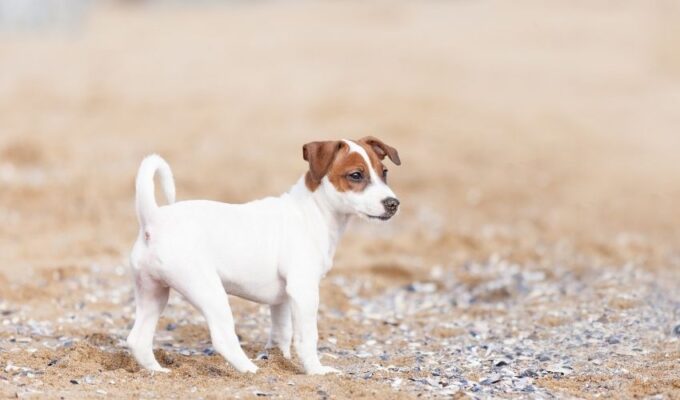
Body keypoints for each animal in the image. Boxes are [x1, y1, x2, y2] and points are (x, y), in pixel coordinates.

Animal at [126, 137, 398, 376]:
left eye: (384, 172)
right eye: (356, 175)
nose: (393, 203)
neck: (312, 211)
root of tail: (153, 219)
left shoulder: (284, 299)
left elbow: (281, 334)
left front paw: (279, 360)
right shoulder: (304, 291)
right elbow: (307, 338)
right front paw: (316, 371)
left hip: (153, 294)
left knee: (138, 339)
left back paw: (158, 371)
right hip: (208, 291)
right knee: (223, 338)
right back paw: (251, 371)